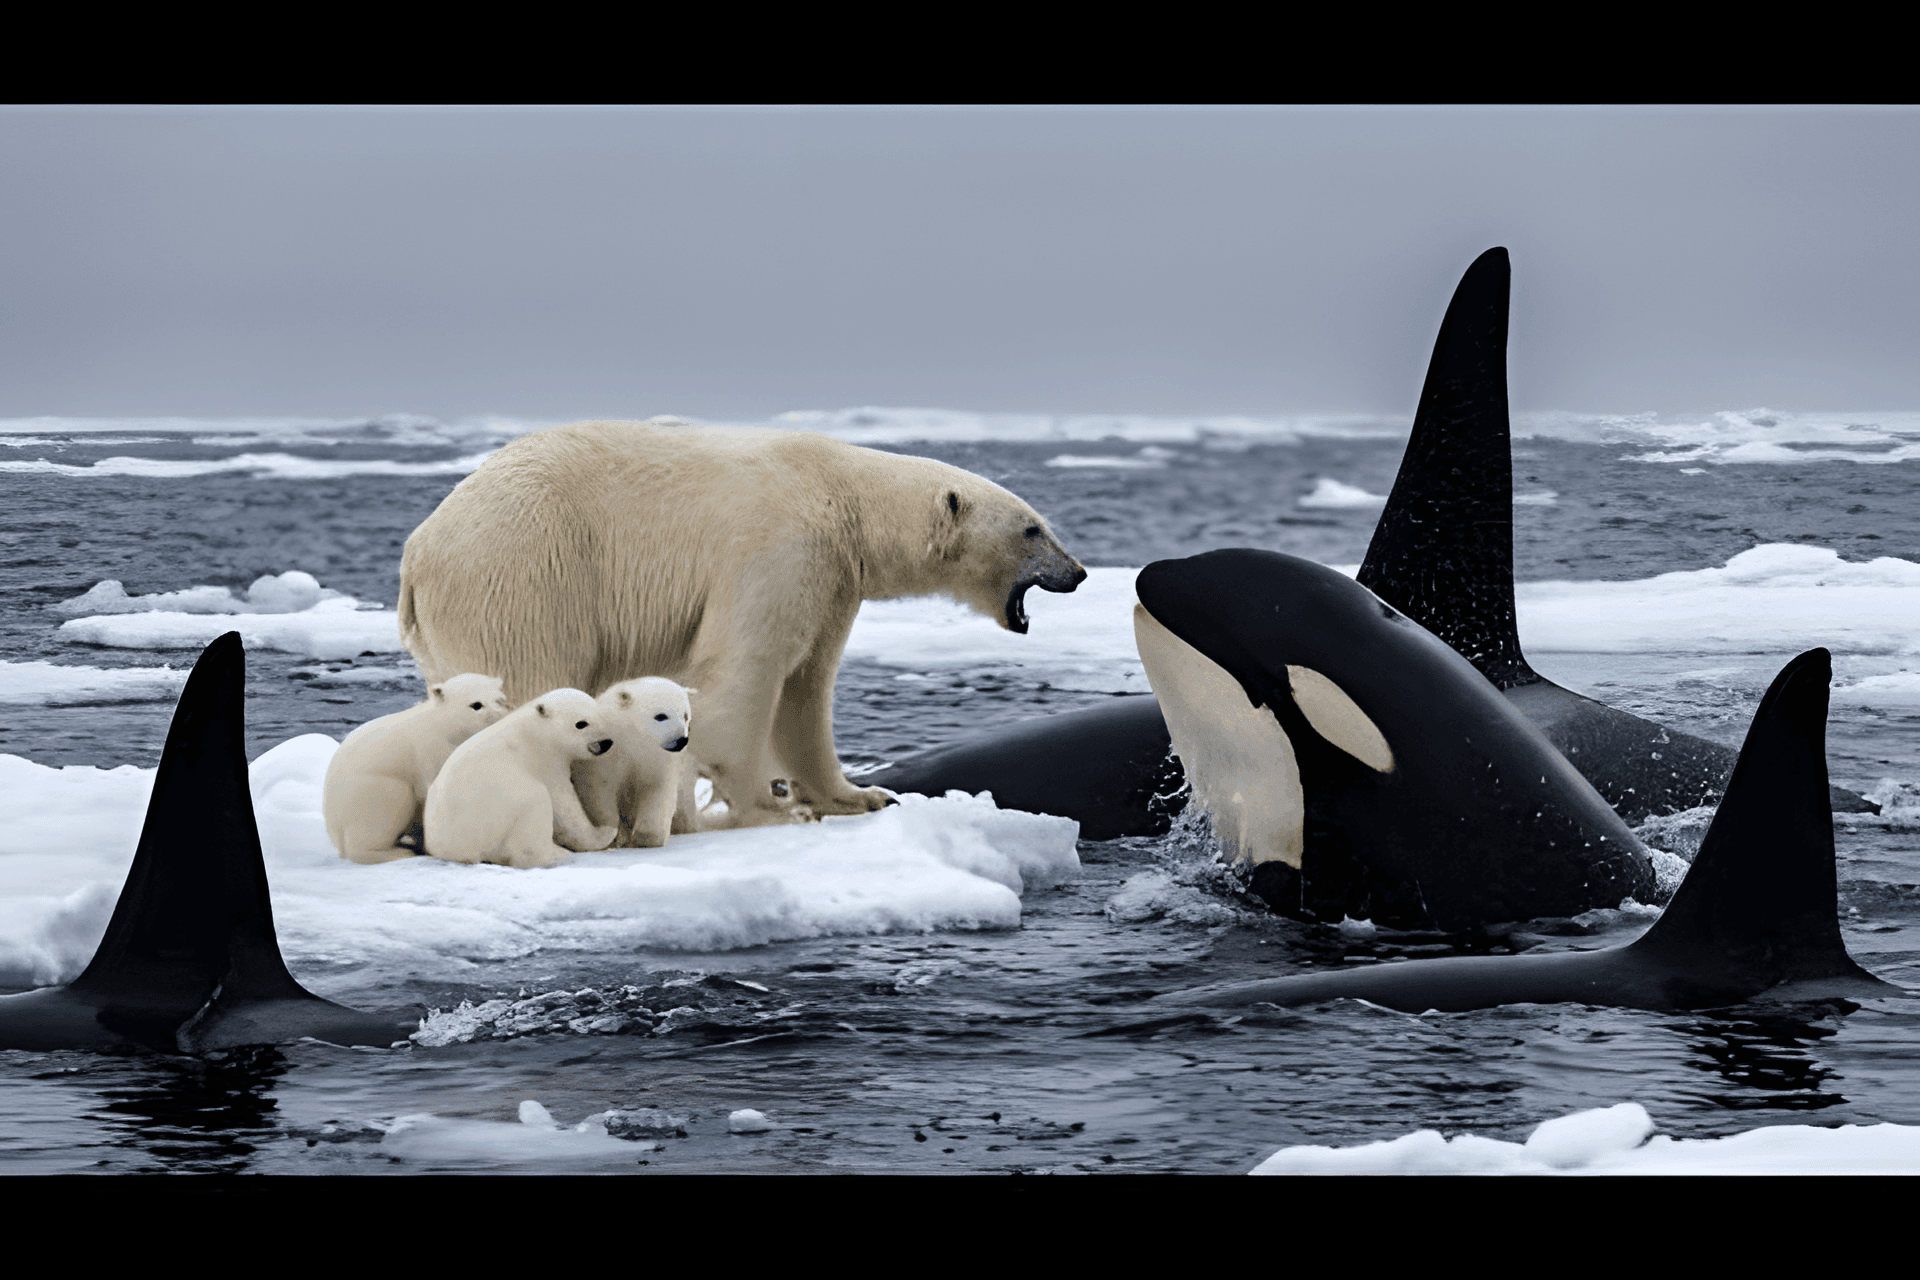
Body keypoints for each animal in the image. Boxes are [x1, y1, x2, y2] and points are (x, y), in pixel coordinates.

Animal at [322, 672, 513, 865]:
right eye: (476, 704)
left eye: (500, 700)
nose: (499, 716)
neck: (445, 728)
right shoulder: (430, 751)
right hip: (369, 793)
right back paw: (399, 852)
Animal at [398, 418, 1085, 829]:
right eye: (1033, 528)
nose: (1077, 573)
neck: (842, 492)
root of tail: (418, 550)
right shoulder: (780, 548)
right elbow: (746, 674)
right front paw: (772, 807)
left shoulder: (834, 582)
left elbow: (807, 689)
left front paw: (859, 796)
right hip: (525, 576)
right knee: (534, 677)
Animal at [422, 687, 620, 869]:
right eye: (581, 723)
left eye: (602, 718)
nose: (605, 743)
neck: (536, 728)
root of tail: (459, 853)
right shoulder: (547, 760)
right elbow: (564, 805)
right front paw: (605, 832)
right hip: (494, 815)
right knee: (535, 806)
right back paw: (556, 855)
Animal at [572, 676, 697, 848]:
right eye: (661, 716)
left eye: (685, 716)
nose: (681, 740)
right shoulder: (605, 757)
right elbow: (600, 790)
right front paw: (614, 837)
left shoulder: (657, 760)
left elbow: (657, 791)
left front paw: (647, 837)